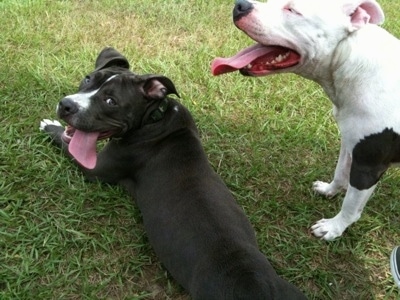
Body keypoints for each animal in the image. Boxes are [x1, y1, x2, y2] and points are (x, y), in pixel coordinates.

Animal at [39, 48, 306, 298]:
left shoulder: (96, 168)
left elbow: (65, 145)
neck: (155, 117)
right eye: (88, 79)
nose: (66, 105)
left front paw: (50, 126)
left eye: (111, 102)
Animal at [211, 0, 400, 240]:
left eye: (292, 9)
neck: (351, 59)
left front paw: (334, 227)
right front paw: (329, 190)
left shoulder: (368, 165)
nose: (241, 5)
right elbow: (340, 172)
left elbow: (351, 205)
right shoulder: (349, 143)